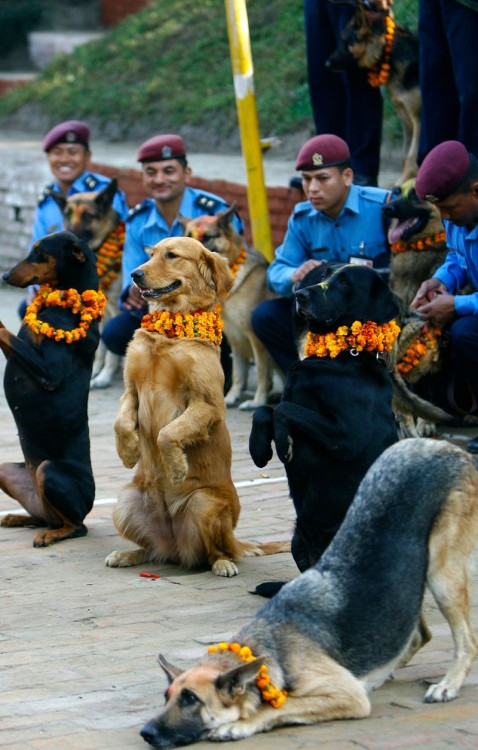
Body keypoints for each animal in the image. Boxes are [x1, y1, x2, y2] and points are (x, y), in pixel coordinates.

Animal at [0, 232, 104, 548]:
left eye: (40, 252)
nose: (4, 275)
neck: (66, 306)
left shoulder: (49, 375)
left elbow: (5, 332)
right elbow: (11, 337)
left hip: (49, 471)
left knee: (77, 526)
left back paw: (51, 534)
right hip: (8, 473)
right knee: (44, 517)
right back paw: (19, 518)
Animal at [105, 238, 288, 580]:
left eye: (172, 255)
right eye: (151, 254)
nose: (135, 274)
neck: (169, 333)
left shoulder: (208, 403)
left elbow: (166, 433)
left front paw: (176, 467)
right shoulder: (131, 390)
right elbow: (121, 423)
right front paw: (129, 451)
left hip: (203, 503)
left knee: (213, 552)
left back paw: (223, 563)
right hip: (124, 503)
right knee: (155, 552)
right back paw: (127, 554)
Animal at [179, 206, 276, 412]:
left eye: (207, 236)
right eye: (187, 238)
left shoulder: (254, 338)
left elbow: (261, 372)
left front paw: (258, 401)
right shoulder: (234, 338)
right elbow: (239, 373)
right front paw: (231, 397)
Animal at [250, 264, 400, 600]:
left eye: (344, 282)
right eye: (324, 274)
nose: (299, 295)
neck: (344, 357)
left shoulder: (348, 438)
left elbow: (284, 409)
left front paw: (283, 443)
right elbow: (265, 409)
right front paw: (258, 448)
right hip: (298, 537)